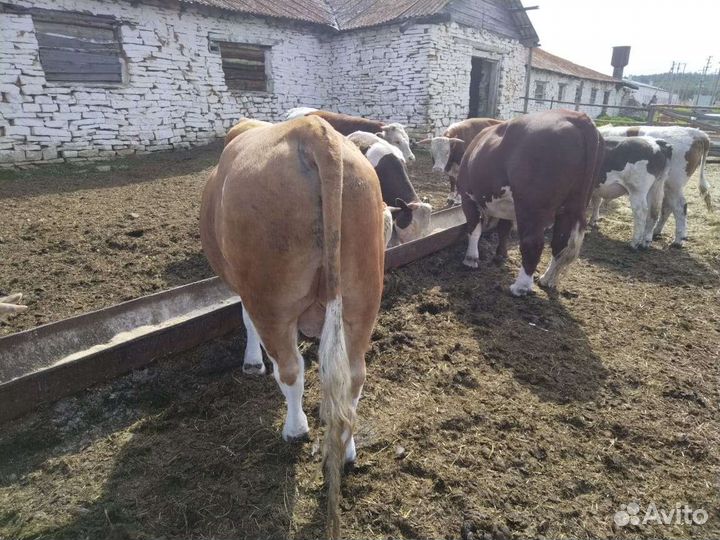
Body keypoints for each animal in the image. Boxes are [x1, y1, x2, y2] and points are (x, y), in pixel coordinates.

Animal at [200, 116, 385, 539]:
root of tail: (313, 130)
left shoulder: (246, 291)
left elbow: (245, 319)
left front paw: (252, 362)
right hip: (362, 298)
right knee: (353, 377)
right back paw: (346, 447)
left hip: (271, 297)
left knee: (289, 370)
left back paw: (295, 428)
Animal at [458, 109, 604, 296]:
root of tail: (577, 116)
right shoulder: (507, 206)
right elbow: (503, 229)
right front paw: (500, 255)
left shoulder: (467, 197)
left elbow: (474, 229)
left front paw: (471, 259)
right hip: (570, 206)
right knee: (560, 243)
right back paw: (547, 279)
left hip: (531, 206)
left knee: (532, 243)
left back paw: (520, 287)